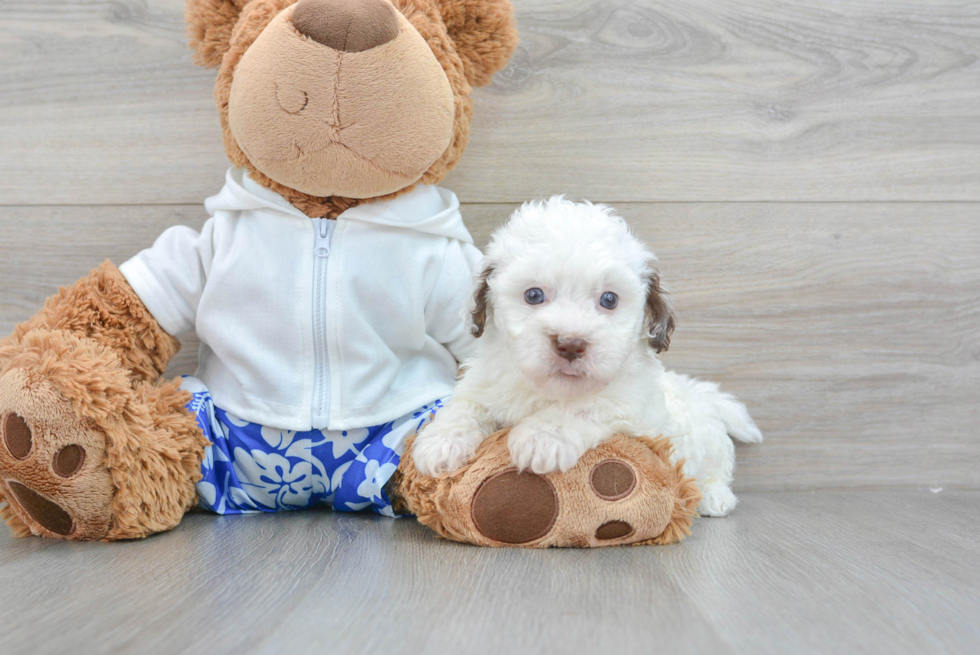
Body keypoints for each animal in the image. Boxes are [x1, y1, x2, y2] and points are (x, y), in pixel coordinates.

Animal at [410, 197, 760, 516]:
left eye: (609, 299)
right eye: (533, 295)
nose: (570, 344)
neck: (549, 390)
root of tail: (697, 389)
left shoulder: (632, 405)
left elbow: (585, 404)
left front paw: (542, 437)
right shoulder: (484, 383)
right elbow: (465, 406)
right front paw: (440, 442)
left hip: (709, 440)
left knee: (717, 466)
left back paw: (715, 497)